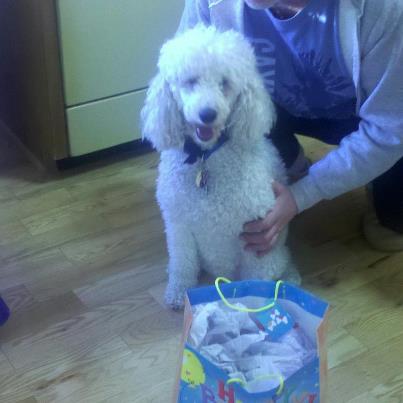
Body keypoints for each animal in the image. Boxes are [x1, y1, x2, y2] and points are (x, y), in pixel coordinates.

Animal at [141, 25, 300, 309]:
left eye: (224, 83)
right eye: (190, 81)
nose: (207, 114)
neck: (206, 157)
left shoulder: (256, 236)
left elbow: (256, 280)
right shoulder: (179, 225)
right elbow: (182, 263)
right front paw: (178, 292)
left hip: (275, 254)